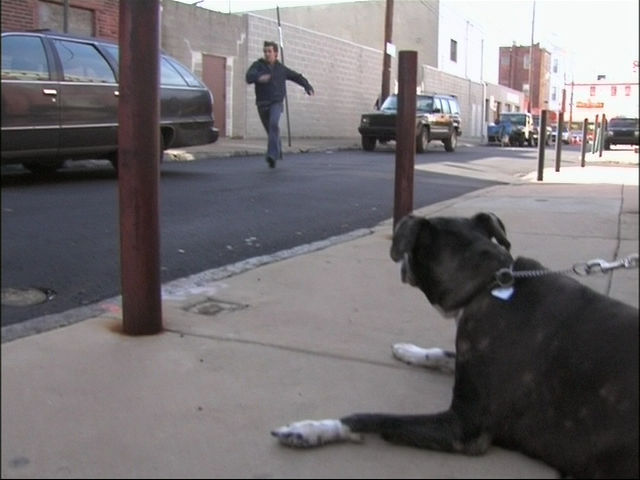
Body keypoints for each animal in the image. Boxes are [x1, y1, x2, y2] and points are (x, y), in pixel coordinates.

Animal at [272, 214, 640, 480]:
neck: (489, 285)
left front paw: (311, 429)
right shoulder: (465, 363)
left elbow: (373, 418)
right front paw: (410, 351)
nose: (400, 264)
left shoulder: (463, 426)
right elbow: (440, 354)